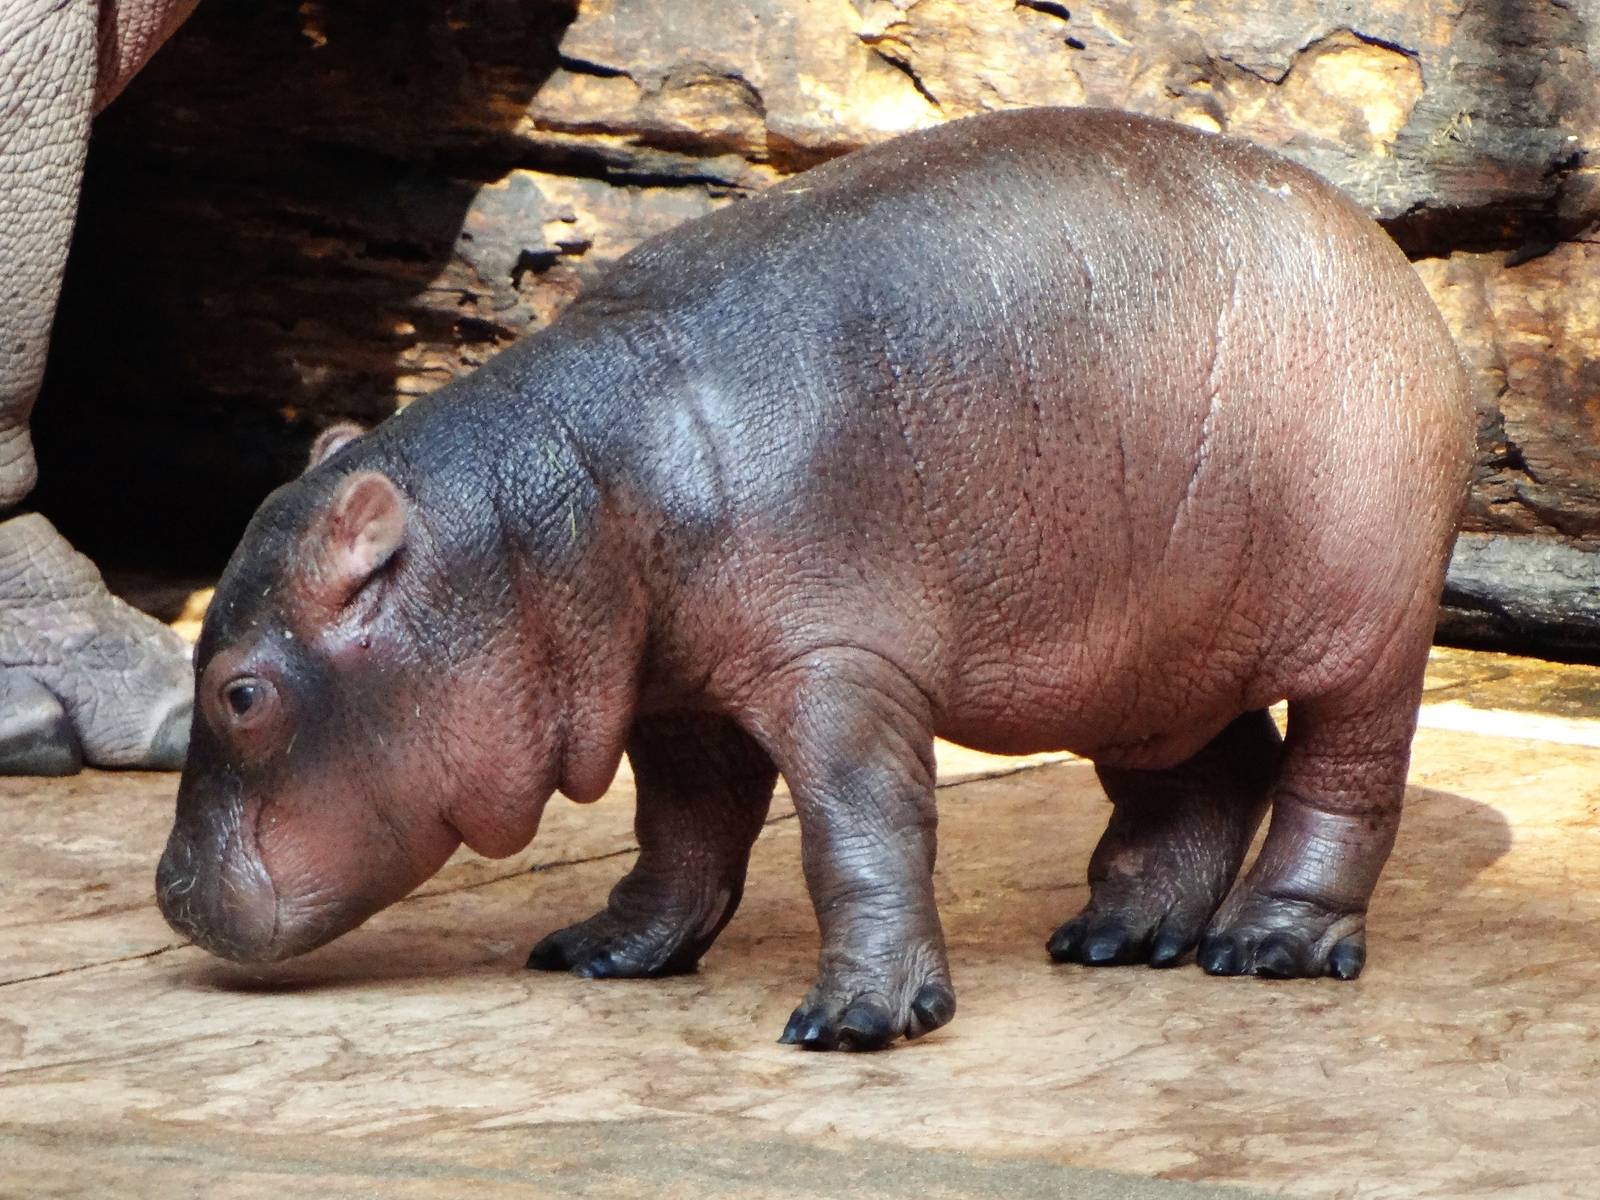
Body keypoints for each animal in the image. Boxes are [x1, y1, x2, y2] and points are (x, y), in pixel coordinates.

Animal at [158, 107, 1474, 1051]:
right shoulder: (674, 692)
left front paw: (856, 1022)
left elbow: (859, 827)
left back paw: (1270, 948)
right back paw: (1116, 934)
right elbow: (682, 831)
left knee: (1341, 780)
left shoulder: (837, 663)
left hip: (1366, 630)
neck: (543, 513)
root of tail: (1390, 261)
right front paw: (602, 950)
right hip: (1142, 652)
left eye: (240, 693)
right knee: (1213, 768)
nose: (167, 892)